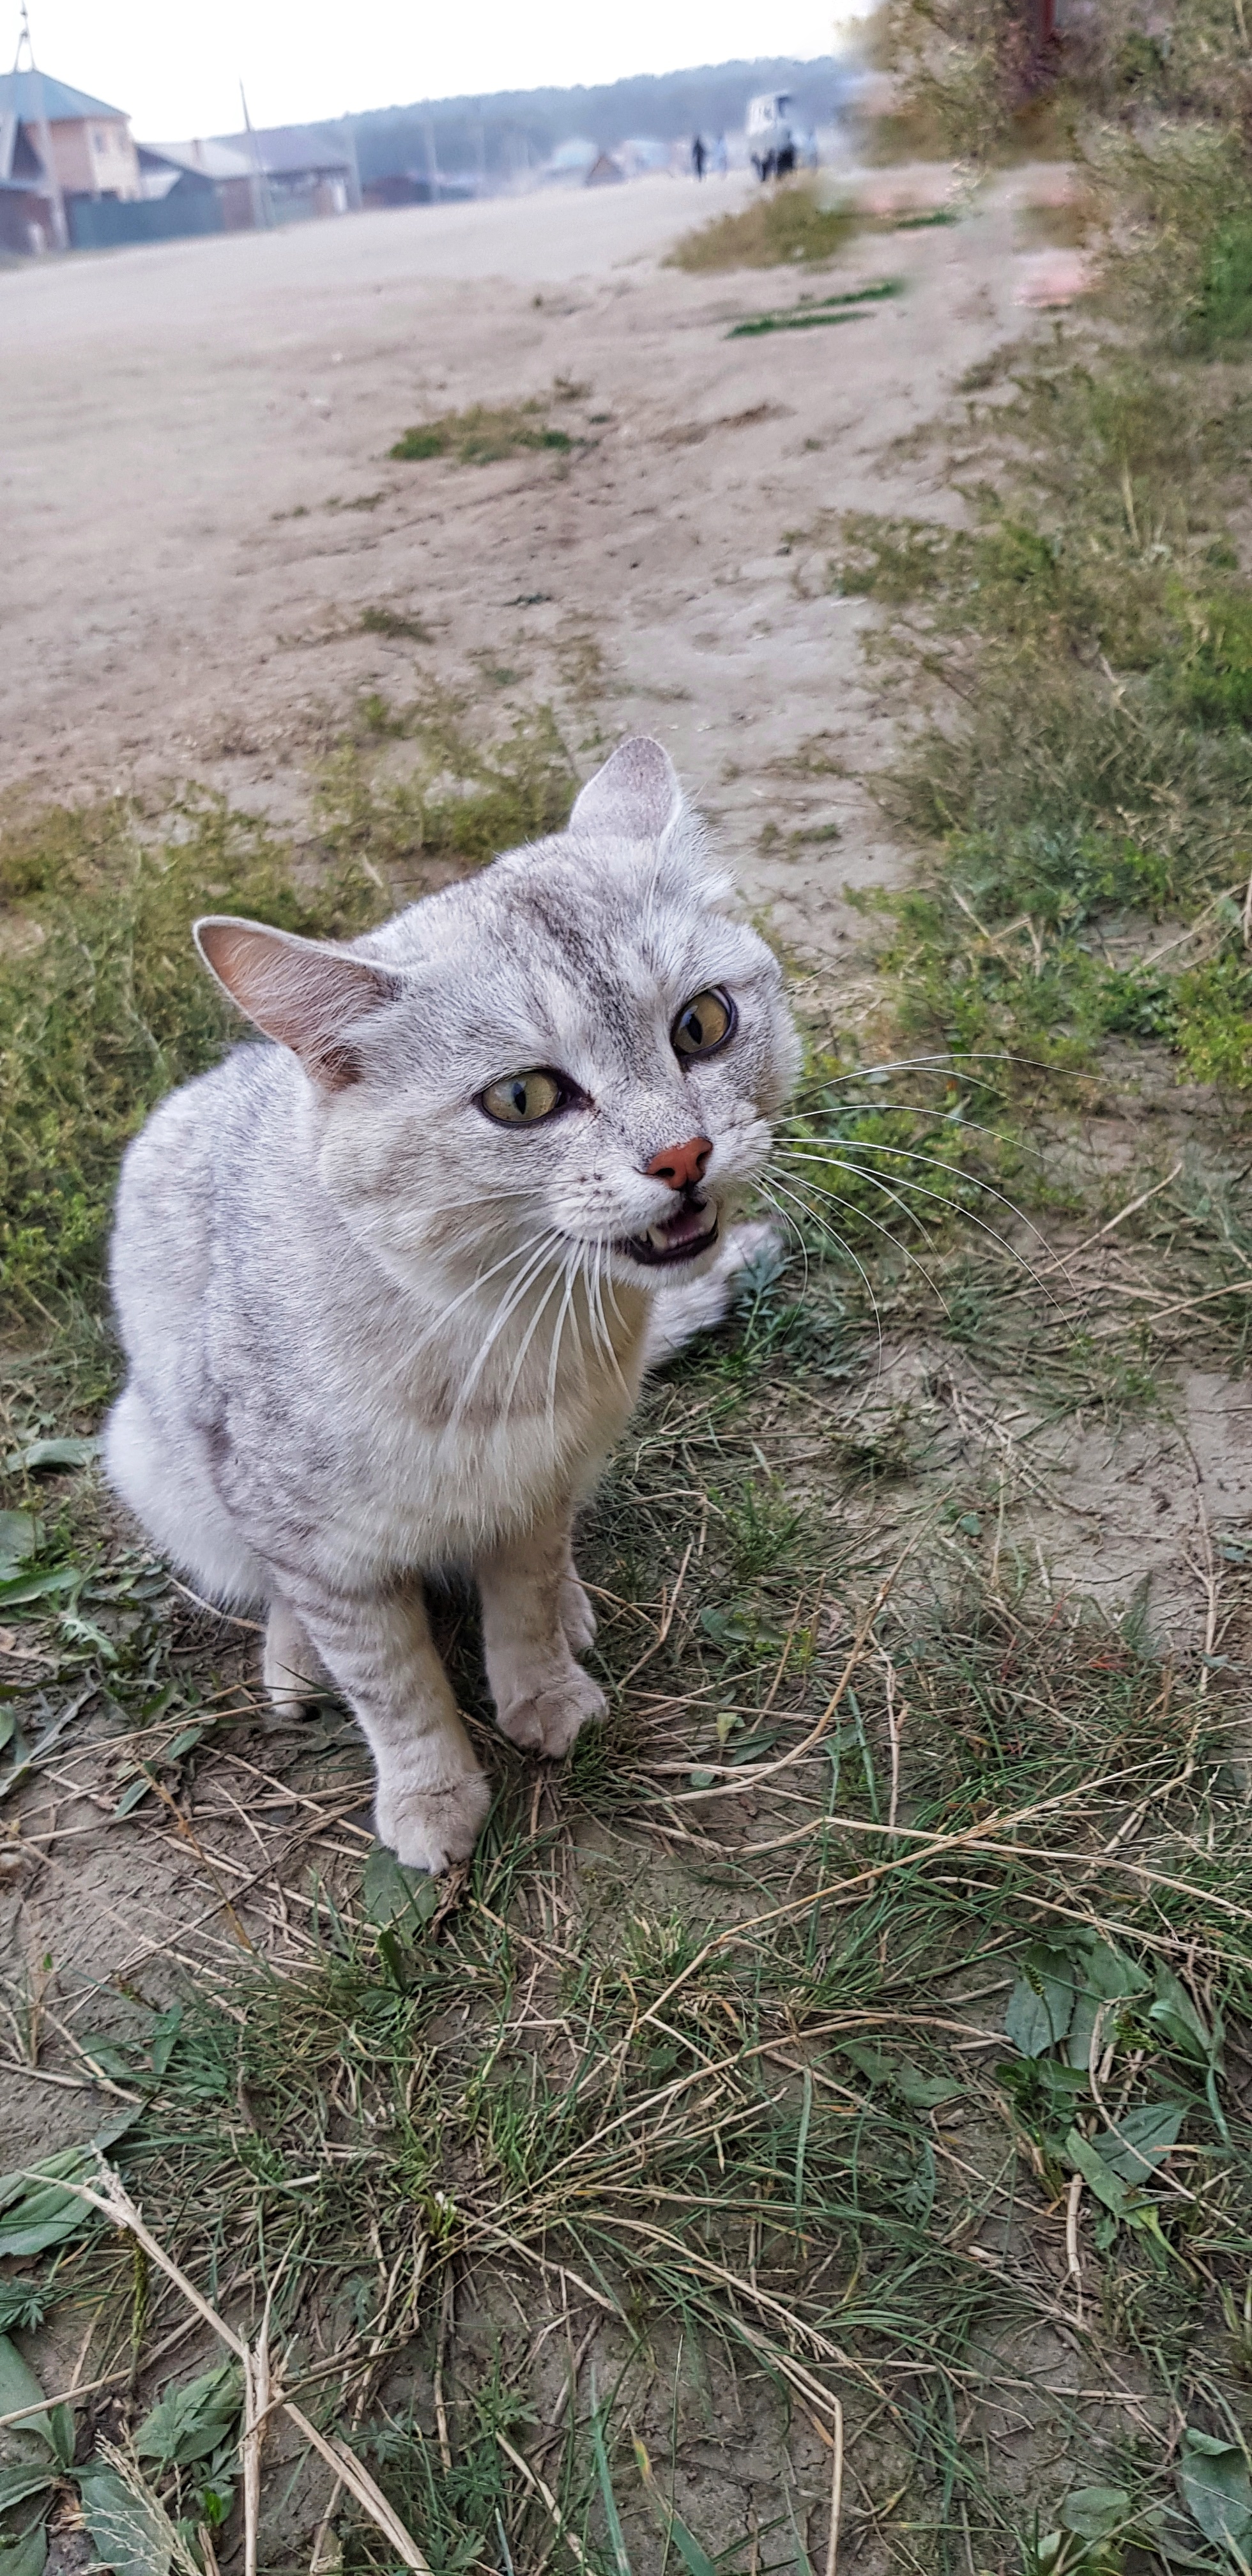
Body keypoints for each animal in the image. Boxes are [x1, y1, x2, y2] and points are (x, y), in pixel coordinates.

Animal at [102, 742, 798, 1875]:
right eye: (523, 1099)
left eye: (703, 1024)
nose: (681, 1155)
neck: (508, 1327)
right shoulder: (308, 1532)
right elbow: (393, 1683)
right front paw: (431, 1795)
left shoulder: (536, 1491)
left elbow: (520, 1601)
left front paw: (544, 1691)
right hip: (155, 1461)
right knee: (270, 1589)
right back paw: (294, 1660)